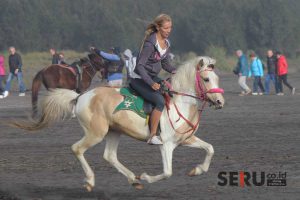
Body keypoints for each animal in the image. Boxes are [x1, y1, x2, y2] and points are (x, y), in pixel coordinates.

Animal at [13, 55, 225, 191]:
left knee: (109, 156)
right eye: (206, 79)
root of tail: (81, 96)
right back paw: (91, 181)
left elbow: (210, 149)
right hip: (96, 133)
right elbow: (167, 172)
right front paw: (146, 176)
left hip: (114, 132)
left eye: (217, 77)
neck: (179, 103)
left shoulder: (186, 140)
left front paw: (197, 170)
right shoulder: (166, 145)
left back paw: (133, 179)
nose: (220, 102)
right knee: (77, 149)